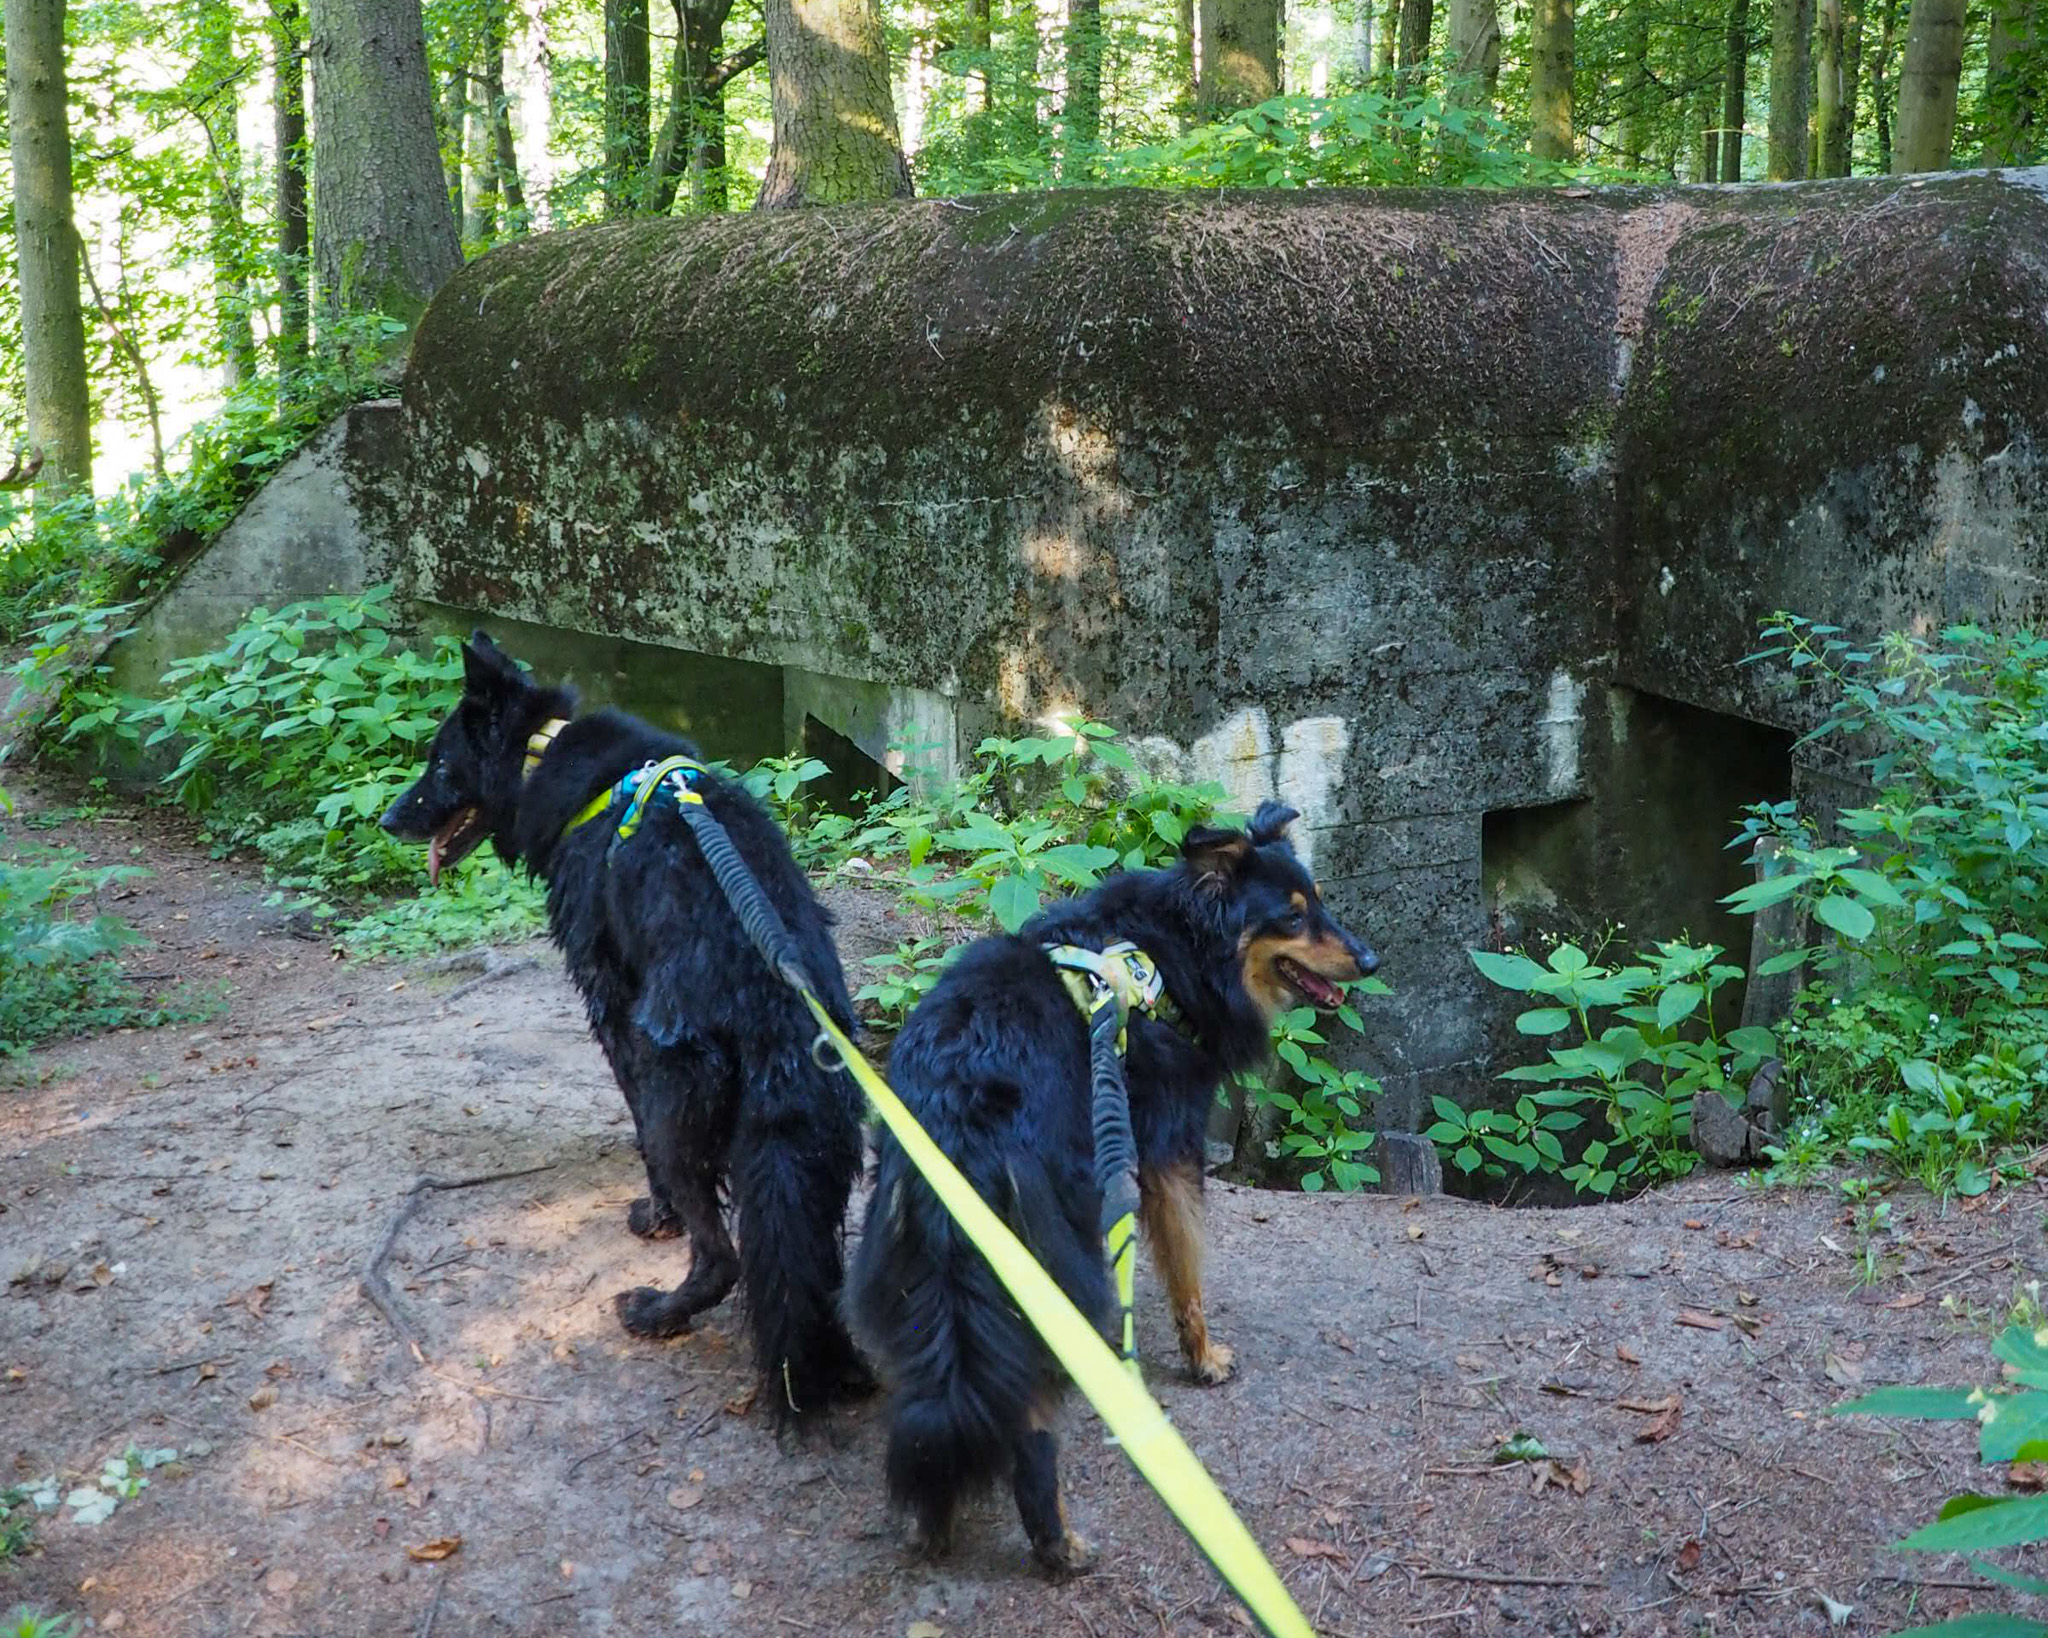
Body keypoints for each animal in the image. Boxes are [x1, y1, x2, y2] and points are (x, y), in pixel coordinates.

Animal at [380, 634, 868, 1425]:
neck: (545, 755)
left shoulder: (611, 1006)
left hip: (682, 1110)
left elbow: (635, 1126)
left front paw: (656, 1216)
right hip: (811, 1148)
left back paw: (658, 1311)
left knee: (723, 1254)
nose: (389, 819)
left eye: (441, 766)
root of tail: (773, 1005)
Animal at [839, 802, 1384, 1572]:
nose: (1371, 962)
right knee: (1029, 1429)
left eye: (1322, 904)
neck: (1172, 951)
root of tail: (958, 1116)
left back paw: (934, 1525)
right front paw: (1203, 1360)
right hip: (1044, 1273)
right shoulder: (1169, 1152)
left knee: (937, 1403)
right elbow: (1187, 1275)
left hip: (920, 1272)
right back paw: (1057, 1545)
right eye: (1293, 916)